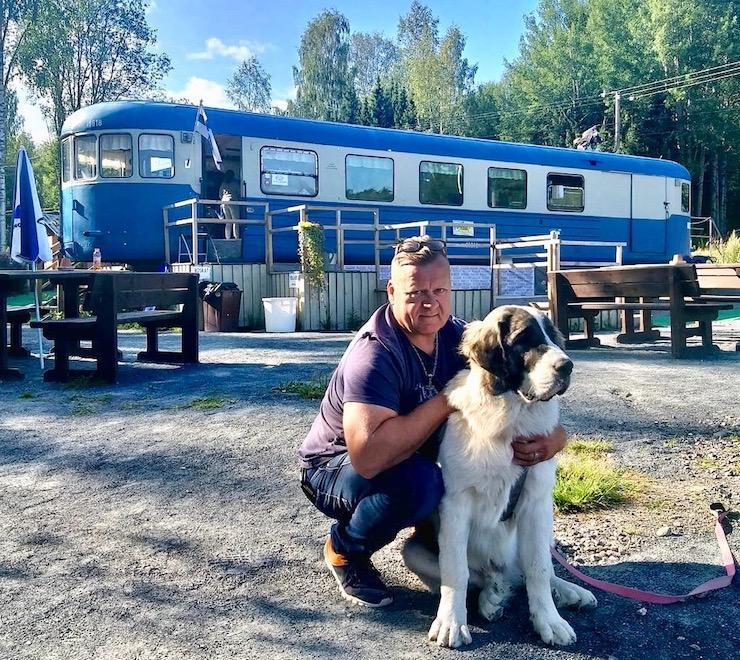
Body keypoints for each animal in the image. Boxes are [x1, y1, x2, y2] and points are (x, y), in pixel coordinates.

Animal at [402, 305, 597, 648]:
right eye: (523, 339)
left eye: (552, 336)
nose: (567, 366)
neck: (510, 413)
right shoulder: (455, 504)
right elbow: (456, 571)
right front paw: (451, 622)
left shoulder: (537, 503)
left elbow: (539, 569)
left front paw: (548, 620)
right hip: (412, 550)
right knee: (484, 576)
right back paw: (491, 598)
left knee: (537, 569)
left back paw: (570, 591)